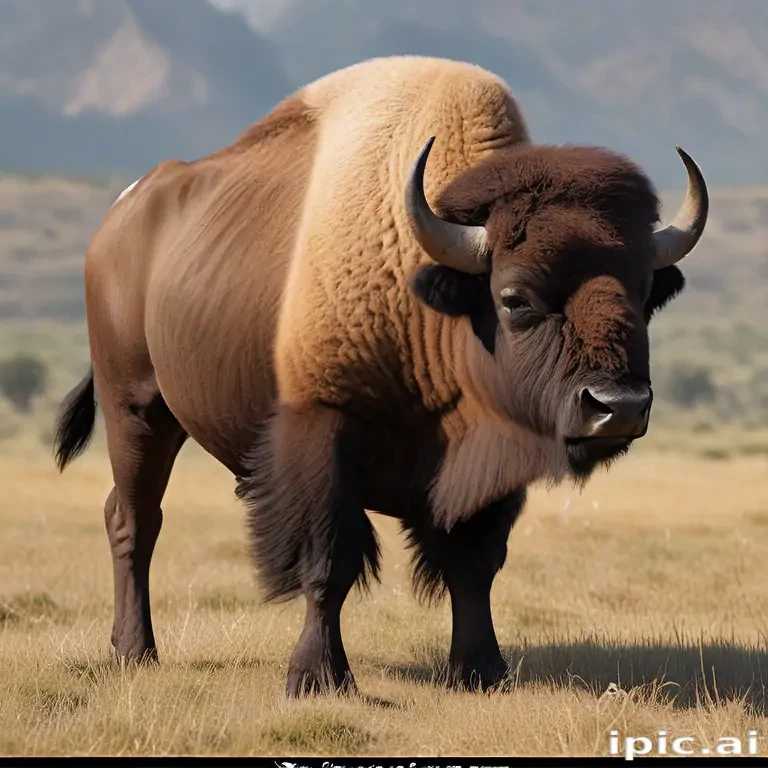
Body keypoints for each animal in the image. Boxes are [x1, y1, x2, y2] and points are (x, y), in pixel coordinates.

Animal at [54, 56, 708, 696]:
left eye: (646, 293)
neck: (433, 301)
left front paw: (480, 671)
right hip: (136, 409)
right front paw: (317, 678)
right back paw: (136, 653)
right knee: (135, 520)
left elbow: (474, 565)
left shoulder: (492, 463)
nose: (618, 407)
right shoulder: (321, 436)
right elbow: (330, 564)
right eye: (515, 298)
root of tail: (117, 221)